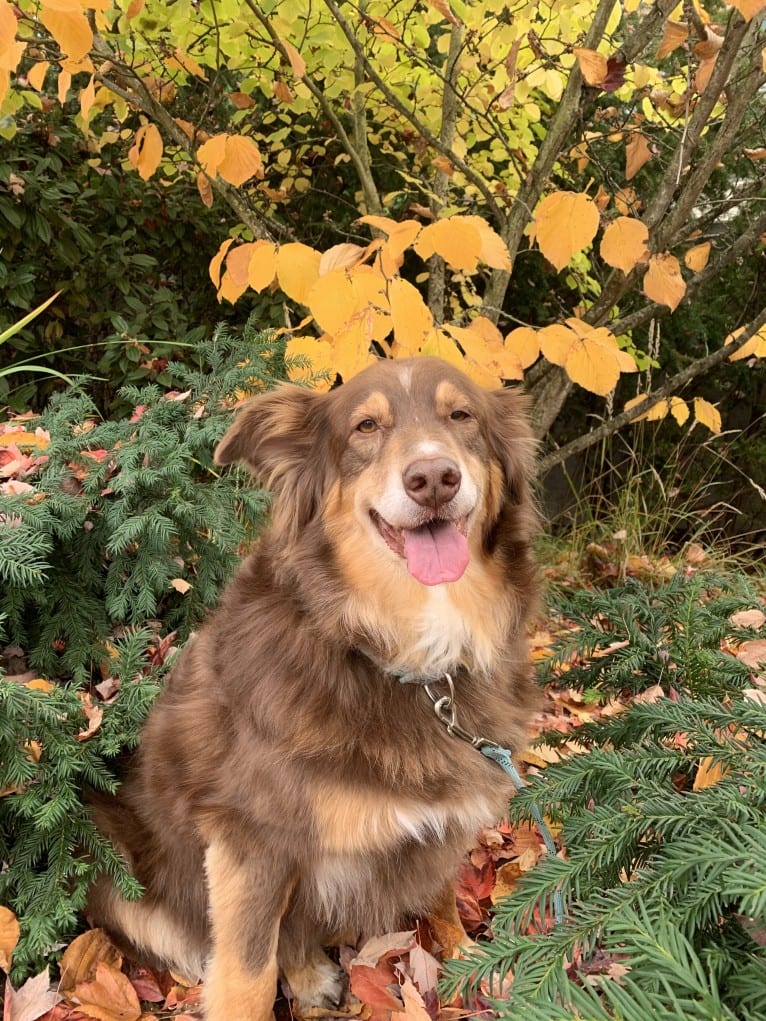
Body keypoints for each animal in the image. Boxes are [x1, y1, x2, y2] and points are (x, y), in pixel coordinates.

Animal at [88, 355, 539, 1016]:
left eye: (462, 416)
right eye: (365, 427)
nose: (433, 478)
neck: (395, 653)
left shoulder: (446, 817)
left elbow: (441, 898)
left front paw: (470, 966)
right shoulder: (249, 839)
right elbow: (247, 973)